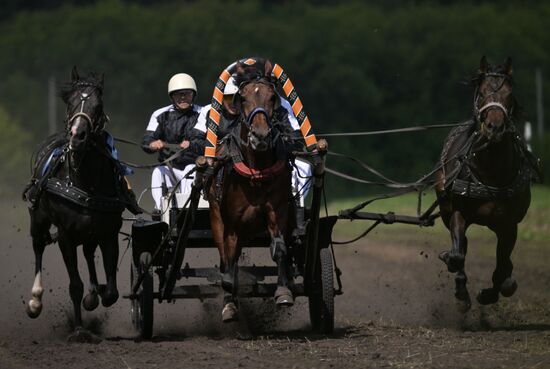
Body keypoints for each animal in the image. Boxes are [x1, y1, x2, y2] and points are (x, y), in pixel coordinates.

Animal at [22, 67, 126, 342]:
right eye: (70, 103)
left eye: (98, 106)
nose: (77, 136)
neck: (84, 178)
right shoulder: (66, 236)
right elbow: (75, 285)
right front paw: (79, 330)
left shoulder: (108, 233)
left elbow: (111, 291)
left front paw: (96, 295)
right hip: (39, 219)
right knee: (38, 247)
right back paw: (35, 301)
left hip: (90, 233)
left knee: (89, 253)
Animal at [209, 59, 300, 320]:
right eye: (244, 97)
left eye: (272, 97)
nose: (260, 135)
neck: (256, 174)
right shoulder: (231, 225)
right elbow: (229, 263)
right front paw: (229, 303)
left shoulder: (277, 211)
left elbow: (279, 249)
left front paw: (283, 292)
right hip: (216, 218)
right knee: (226, 258)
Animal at [436, 56, 544, 310]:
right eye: (482, 92)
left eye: (509, 93)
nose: (495, 127)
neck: (491, 170)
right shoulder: (458, 213)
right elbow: (457, 255)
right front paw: (457, 280)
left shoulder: (509, 225)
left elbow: (502, 268)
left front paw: (491, 292)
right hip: (446, 208)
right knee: (462, 247)